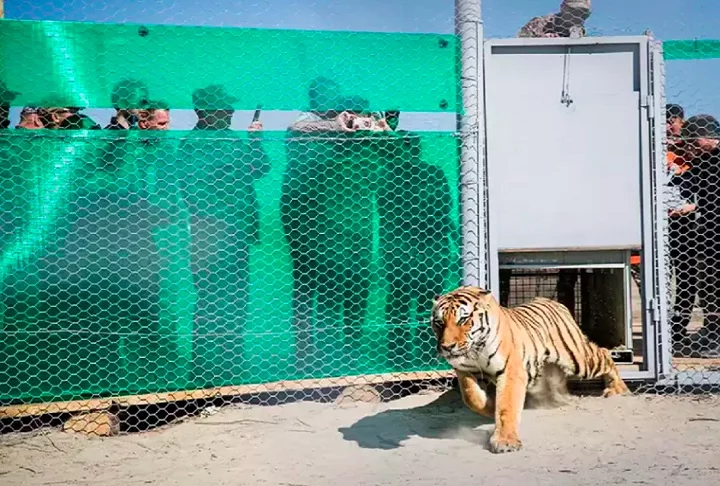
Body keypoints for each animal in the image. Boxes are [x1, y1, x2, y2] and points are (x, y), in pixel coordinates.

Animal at [430, 286, 628, 454]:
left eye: (463, 319)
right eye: (439, 323)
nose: (447, 347)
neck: (474, 350)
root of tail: (554, 302)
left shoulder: (511, 371)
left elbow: (507, 406)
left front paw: (505, 441)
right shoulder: (464, 371)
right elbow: (472, 398)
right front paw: (490, 407)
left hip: (578, 359)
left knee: (604, 353)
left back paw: (618, 389)